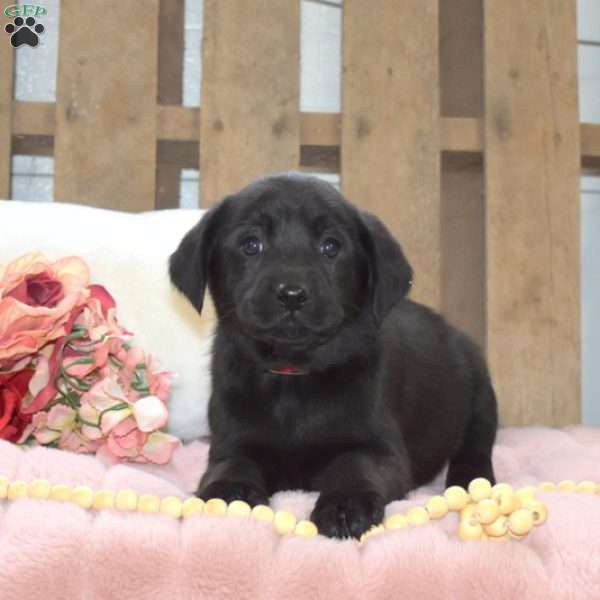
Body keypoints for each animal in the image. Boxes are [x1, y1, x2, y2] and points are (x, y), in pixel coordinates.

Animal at [169, 172, 496, 540]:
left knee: (476, 448)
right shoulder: (229, 442)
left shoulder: (383, 451)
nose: (292, 294)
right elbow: (231, 463)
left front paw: (345, 505)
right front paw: (228, 493)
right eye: (251, 244)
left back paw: (468, 478)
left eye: (331, 246)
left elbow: (354, 463)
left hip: (481, 396)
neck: (293, 377)